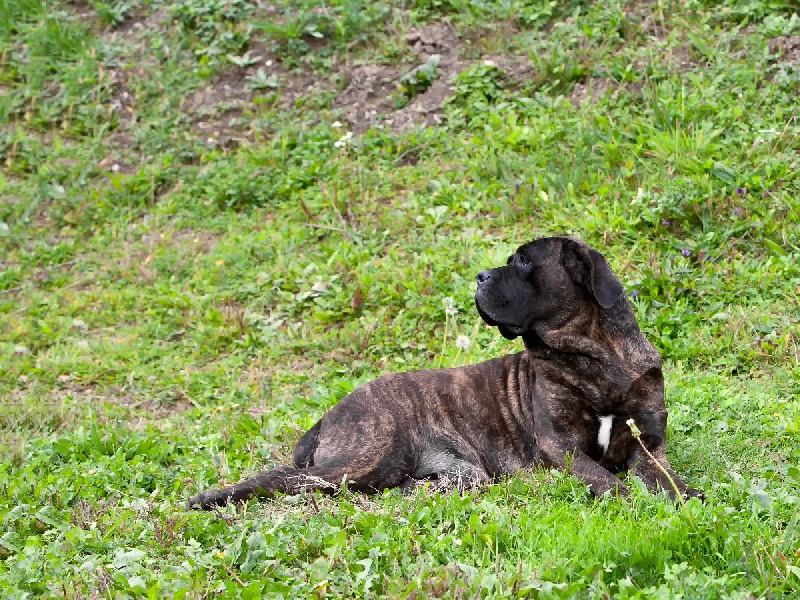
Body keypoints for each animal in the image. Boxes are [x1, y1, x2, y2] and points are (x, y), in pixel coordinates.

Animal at [186, 237, 700, 508]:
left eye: (525, 261)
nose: (481, 275)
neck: (593, 357)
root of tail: (329, 414)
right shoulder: (562, 448)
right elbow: (608, 481)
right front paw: (635, 500)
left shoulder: (648, 443)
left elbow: (664, 476)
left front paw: (689, 495)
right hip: (368, 455)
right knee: (285, 479)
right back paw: (210, 498)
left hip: (460, 473)